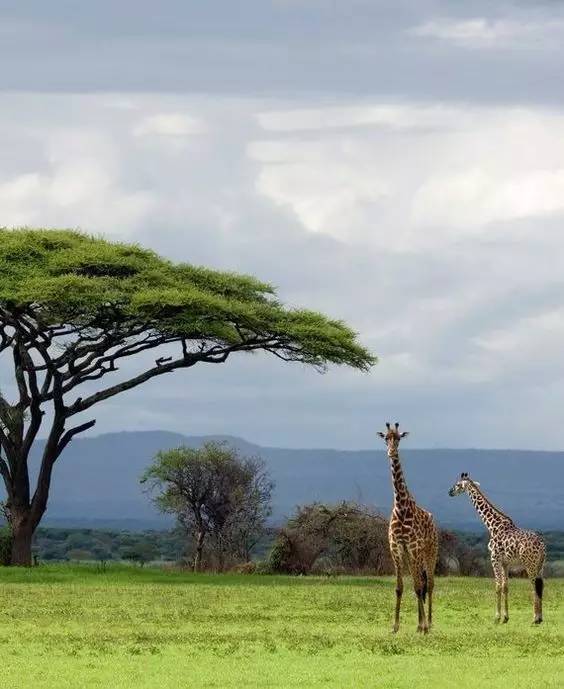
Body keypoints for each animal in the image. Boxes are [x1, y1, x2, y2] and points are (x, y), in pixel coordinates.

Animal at [448, 472, 544, 624]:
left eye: (457, 484)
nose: (450, 492)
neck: (492, 526)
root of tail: (542, 545)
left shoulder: (494, 558)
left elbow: (498, 586)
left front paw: (497, 617)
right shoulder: (505, 563)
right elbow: (505, 587)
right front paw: (506, 617)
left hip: (530, 564)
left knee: (535, 586)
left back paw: (535, 618)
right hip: (540, 565)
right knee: (541, 586)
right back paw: (540, 618)